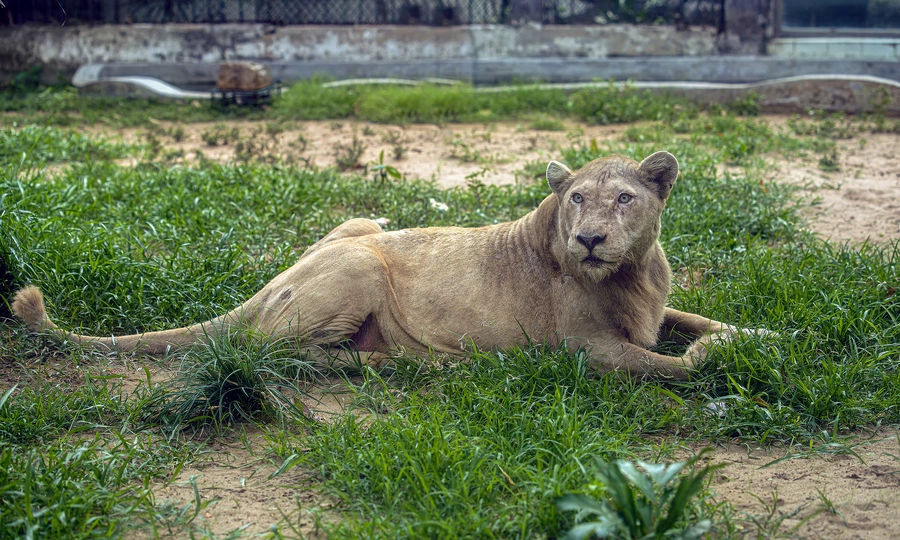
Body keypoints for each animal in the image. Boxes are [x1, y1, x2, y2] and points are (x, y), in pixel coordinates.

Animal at [12, 151, 741, 379]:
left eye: (624, 198)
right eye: (576, 199)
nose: (589, 239)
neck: (632, 273)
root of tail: (268, 284)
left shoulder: (657, 308)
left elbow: (703, 321)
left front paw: (752, 337)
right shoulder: (586, 349)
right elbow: (673, 366)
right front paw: (714, 359)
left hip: (365, 221)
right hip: (360, 265)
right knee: (281, 354)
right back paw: (412, 363)